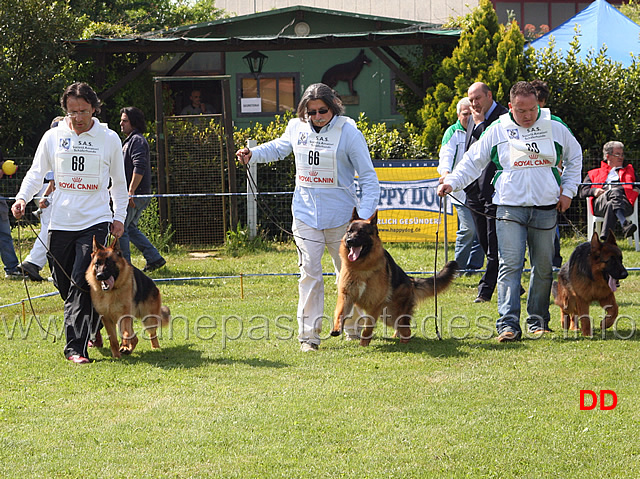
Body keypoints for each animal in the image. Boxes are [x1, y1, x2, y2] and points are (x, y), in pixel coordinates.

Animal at [332, 209, 458, 344]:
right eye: (349, 232)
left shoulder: (375, 304)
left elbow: (368, 325)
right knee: (400, 327)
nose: (349, 241)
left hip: (392, 314)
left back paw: (404, 342)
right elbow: (340, 313)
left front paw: (364, 342)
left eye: (361, 232)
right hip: (386, 316)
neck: (362, 267)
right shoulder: (346, 296)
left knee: (406, 330)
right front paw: (336, 328)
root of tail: (411, 280)